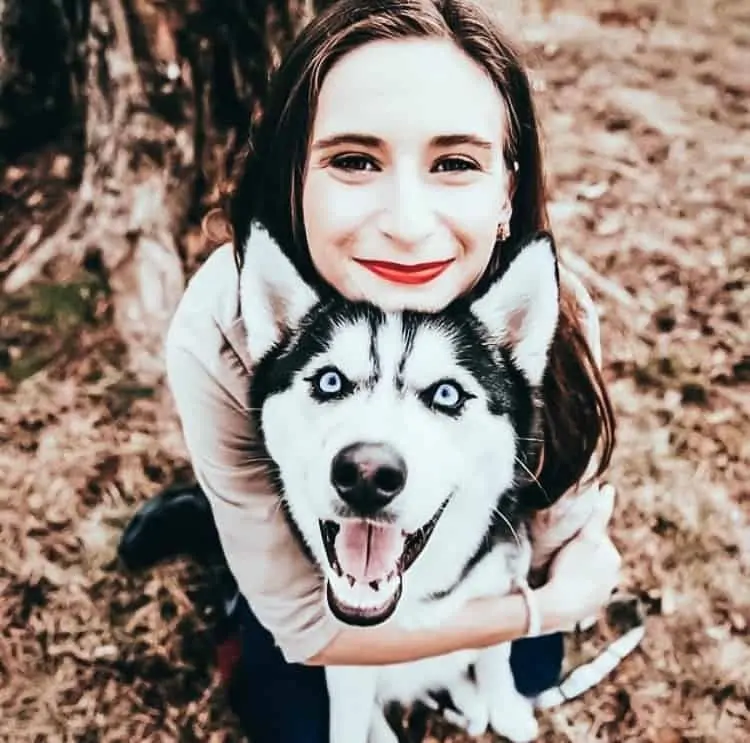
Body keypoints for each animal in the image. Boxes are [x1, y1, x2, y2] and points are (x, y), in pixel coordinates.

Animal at [238, 227, 560, 743]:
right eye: (329, 382)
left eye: (447, 394)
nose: (367, 475)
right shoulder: (346, 663)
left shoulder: (503, 573)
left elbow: (498, 646)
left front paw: (504, 703)